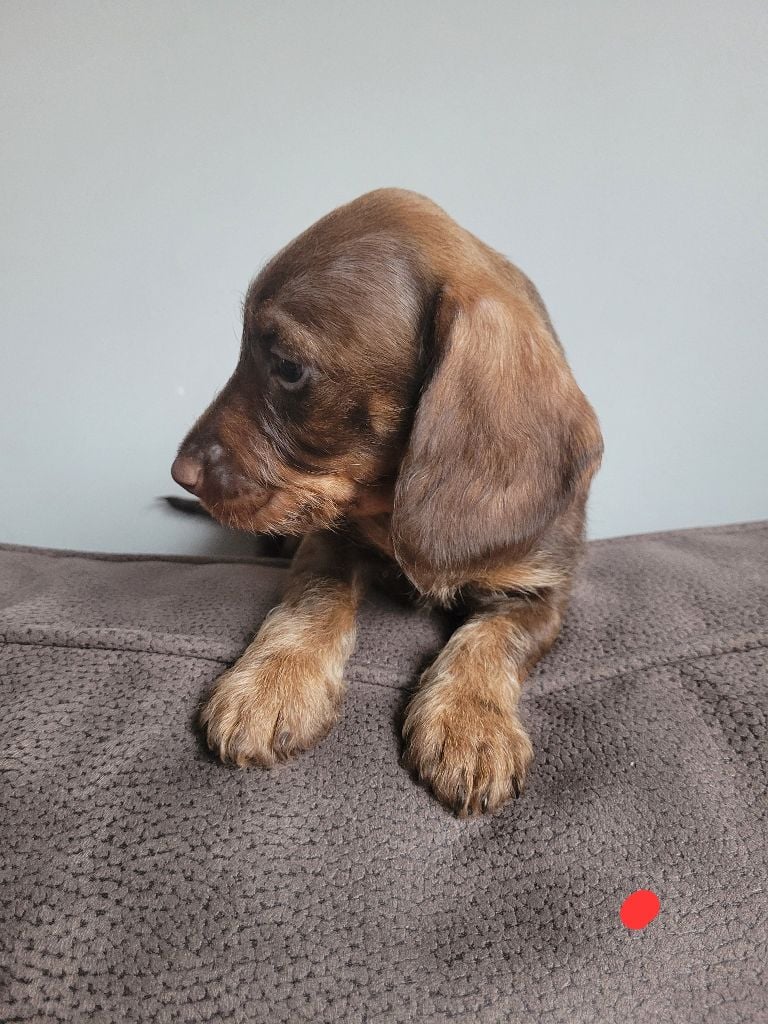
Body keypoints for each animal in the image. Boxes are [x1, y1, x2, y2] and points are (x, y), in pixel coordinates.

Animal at [171, 189, 603, 816]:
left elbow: (493, 639)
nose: (180, 473)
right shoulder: (327, 540)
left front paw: (471, 723)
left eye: (289, 368)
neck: (388, 499)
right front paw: (273, 681)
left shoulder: (541, 592)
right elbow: (315, 600)